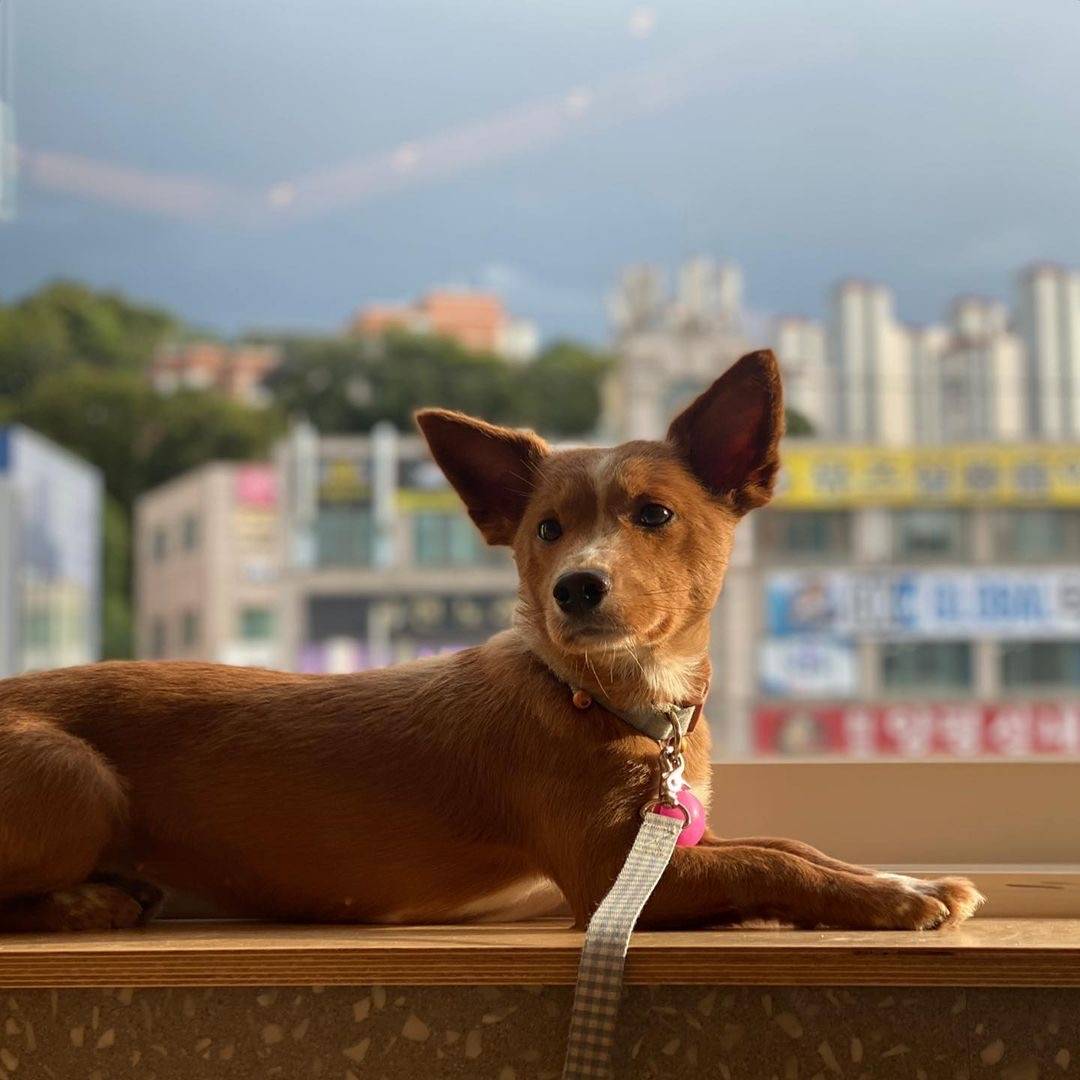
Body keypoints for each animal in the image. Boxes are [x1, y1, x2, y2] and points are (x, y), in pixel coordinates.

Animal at [0, 349, 989, 933]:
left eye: (654, 515)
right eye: (546, 530)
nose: (575, 587)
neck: (609, 696)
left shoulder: (667, 843)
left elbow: (792, 848)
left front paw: (892, 878)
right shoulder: (609, 876)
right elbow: (772, 863)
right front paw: (896, 898)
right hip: (75, 775)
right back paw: (91, 899)